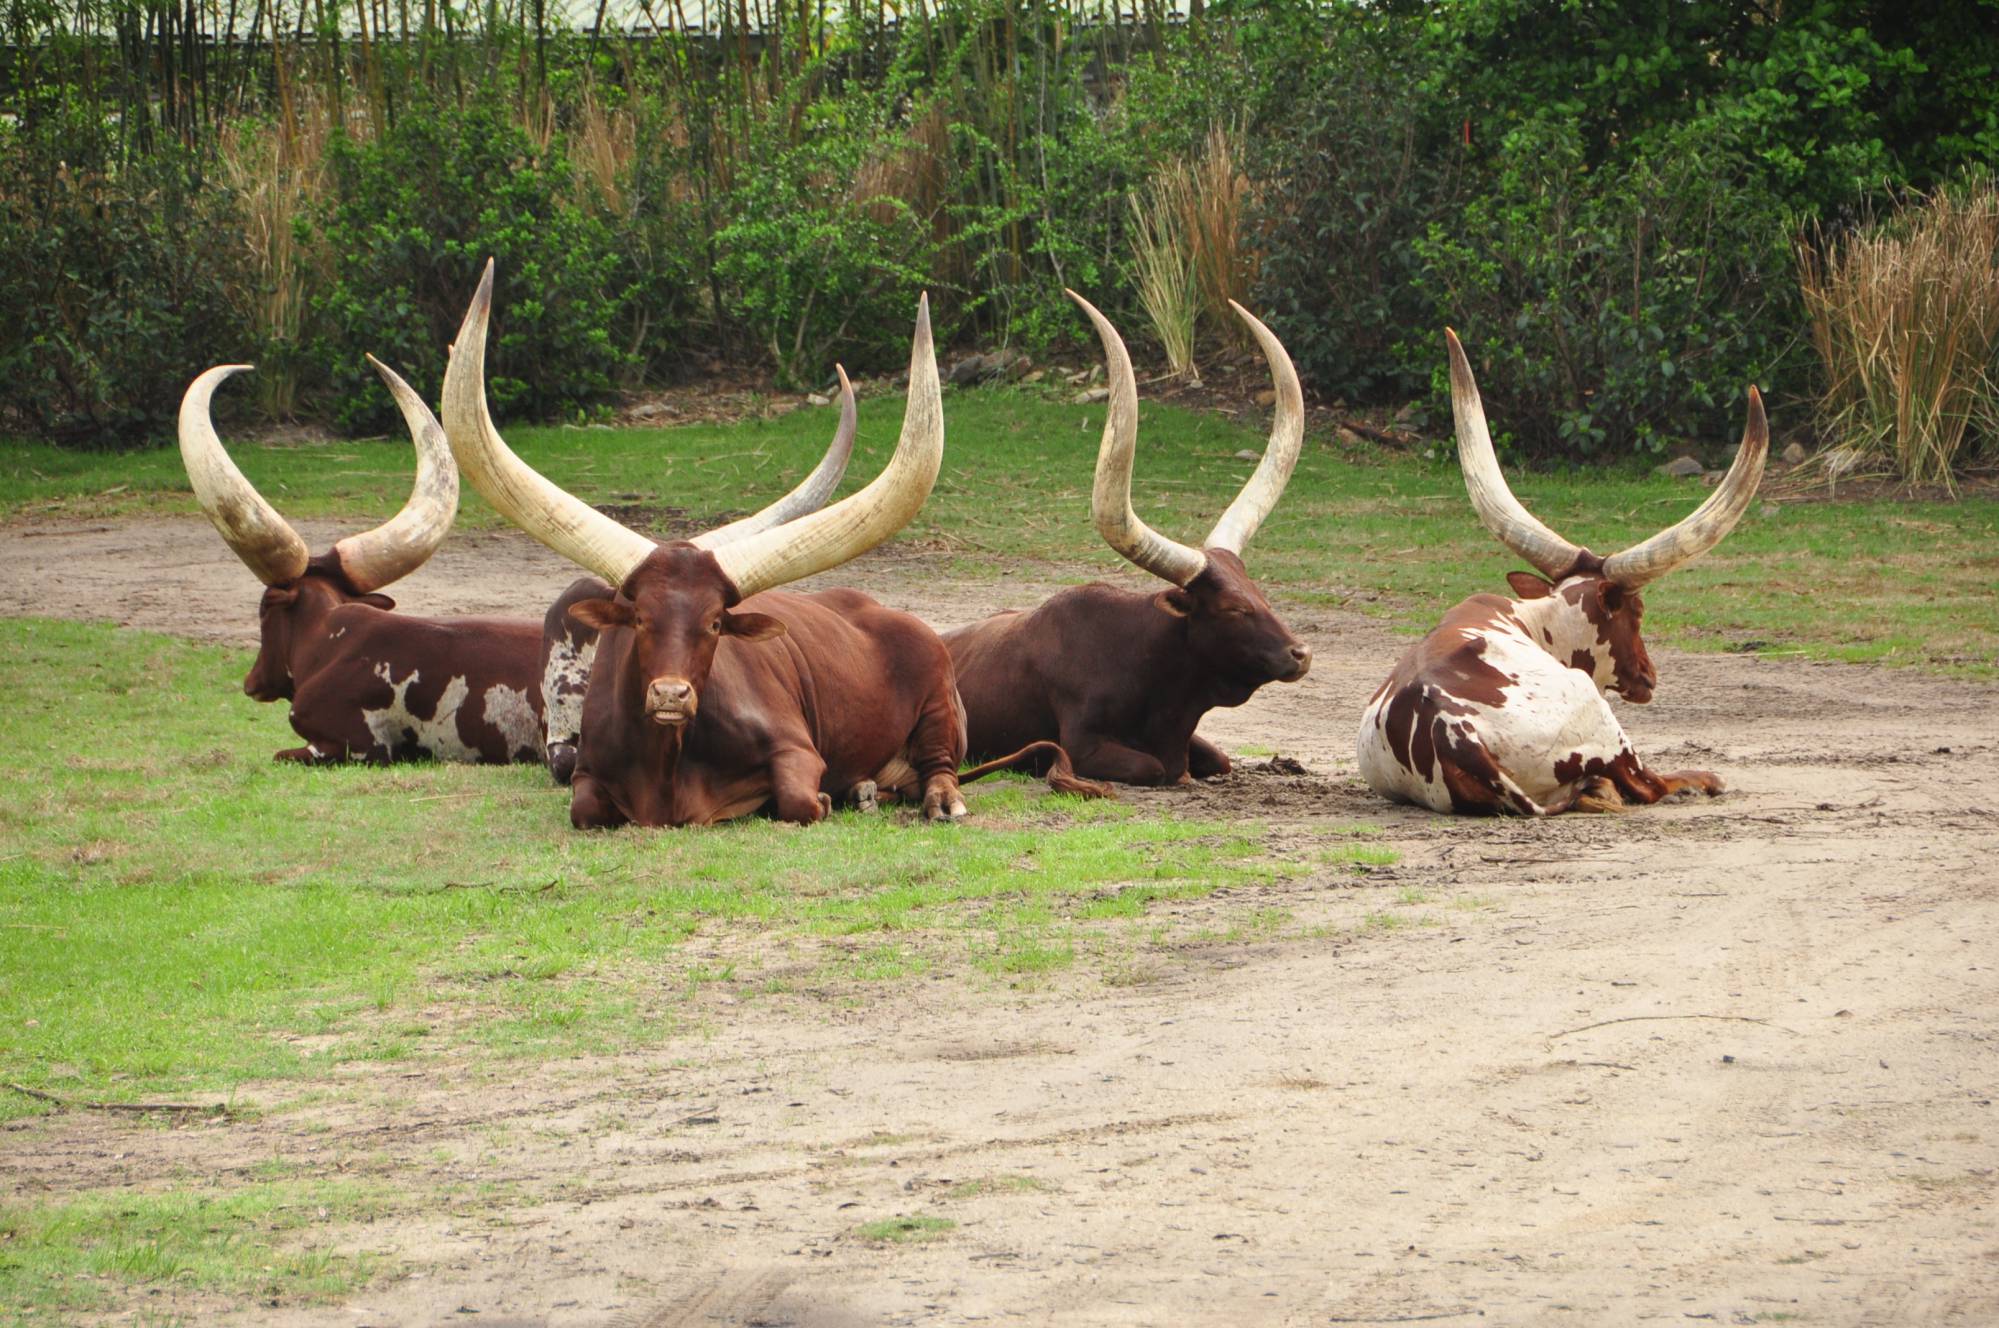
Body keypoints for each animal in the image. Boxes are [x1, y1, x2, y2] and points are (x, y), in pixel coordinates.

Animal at [441, 262, 1111, 832]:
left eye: (716, 622)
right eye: (639, 619)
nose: (670, 695)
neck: (666, 762)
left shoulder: (797, 751)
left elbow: (797, 800)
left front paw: (827, 798)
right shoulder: (584, 776)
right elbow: (583, 810)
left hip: (941, 709)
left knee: (939, 768)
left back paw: (929, 798)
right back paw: (868, 789)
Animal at [947, 294, 1319, 784]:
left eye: (1262, 596)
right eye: (1233, 608)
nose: (1300, 654)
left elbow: (1217, 759)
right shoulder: (1082, 746)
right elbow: (1153, 767)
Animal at [1359, 326, 1767, 816]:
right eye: (1637, 613)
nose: (1649, 676)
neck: (1536, 621)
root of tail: (1454, 732)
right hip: (1600, 718)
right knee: (1647, 783)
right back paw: (1701, 780)